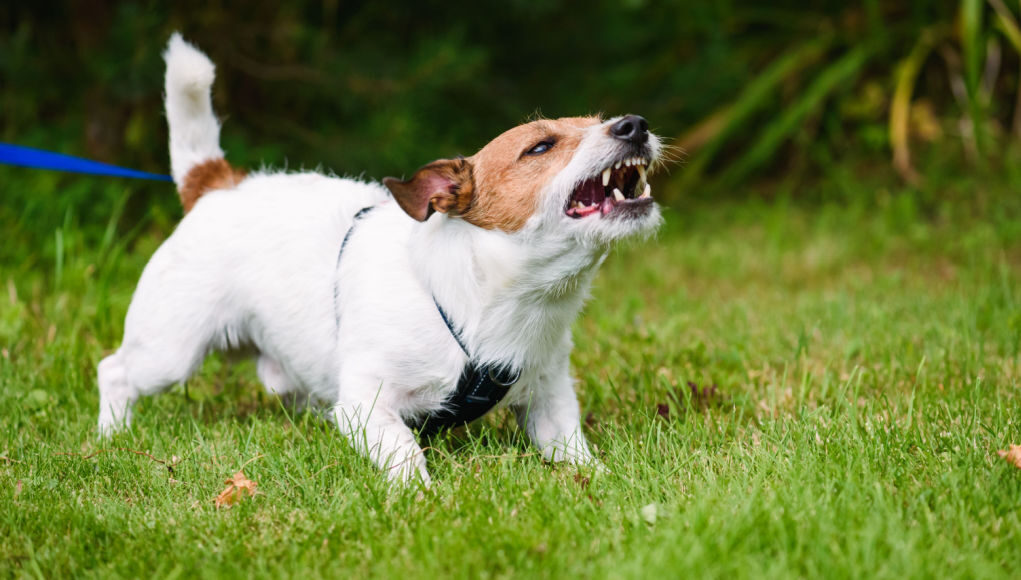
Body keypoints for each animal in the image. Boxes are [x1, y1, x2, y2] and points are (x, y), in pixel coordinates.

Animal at [97, 32, 661, 484]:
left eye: (601, 120)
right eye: (540, 147)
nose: (635, 124)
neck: (491, 299)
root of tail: (216, 184)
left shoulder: (549, 396)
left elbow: (571, 446)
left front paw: (599, 481)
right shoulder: (366, 405)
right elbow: (405, 451)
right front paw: (422, 497)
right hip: (169, 350)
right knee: (114, 371)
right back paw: (111, 436)